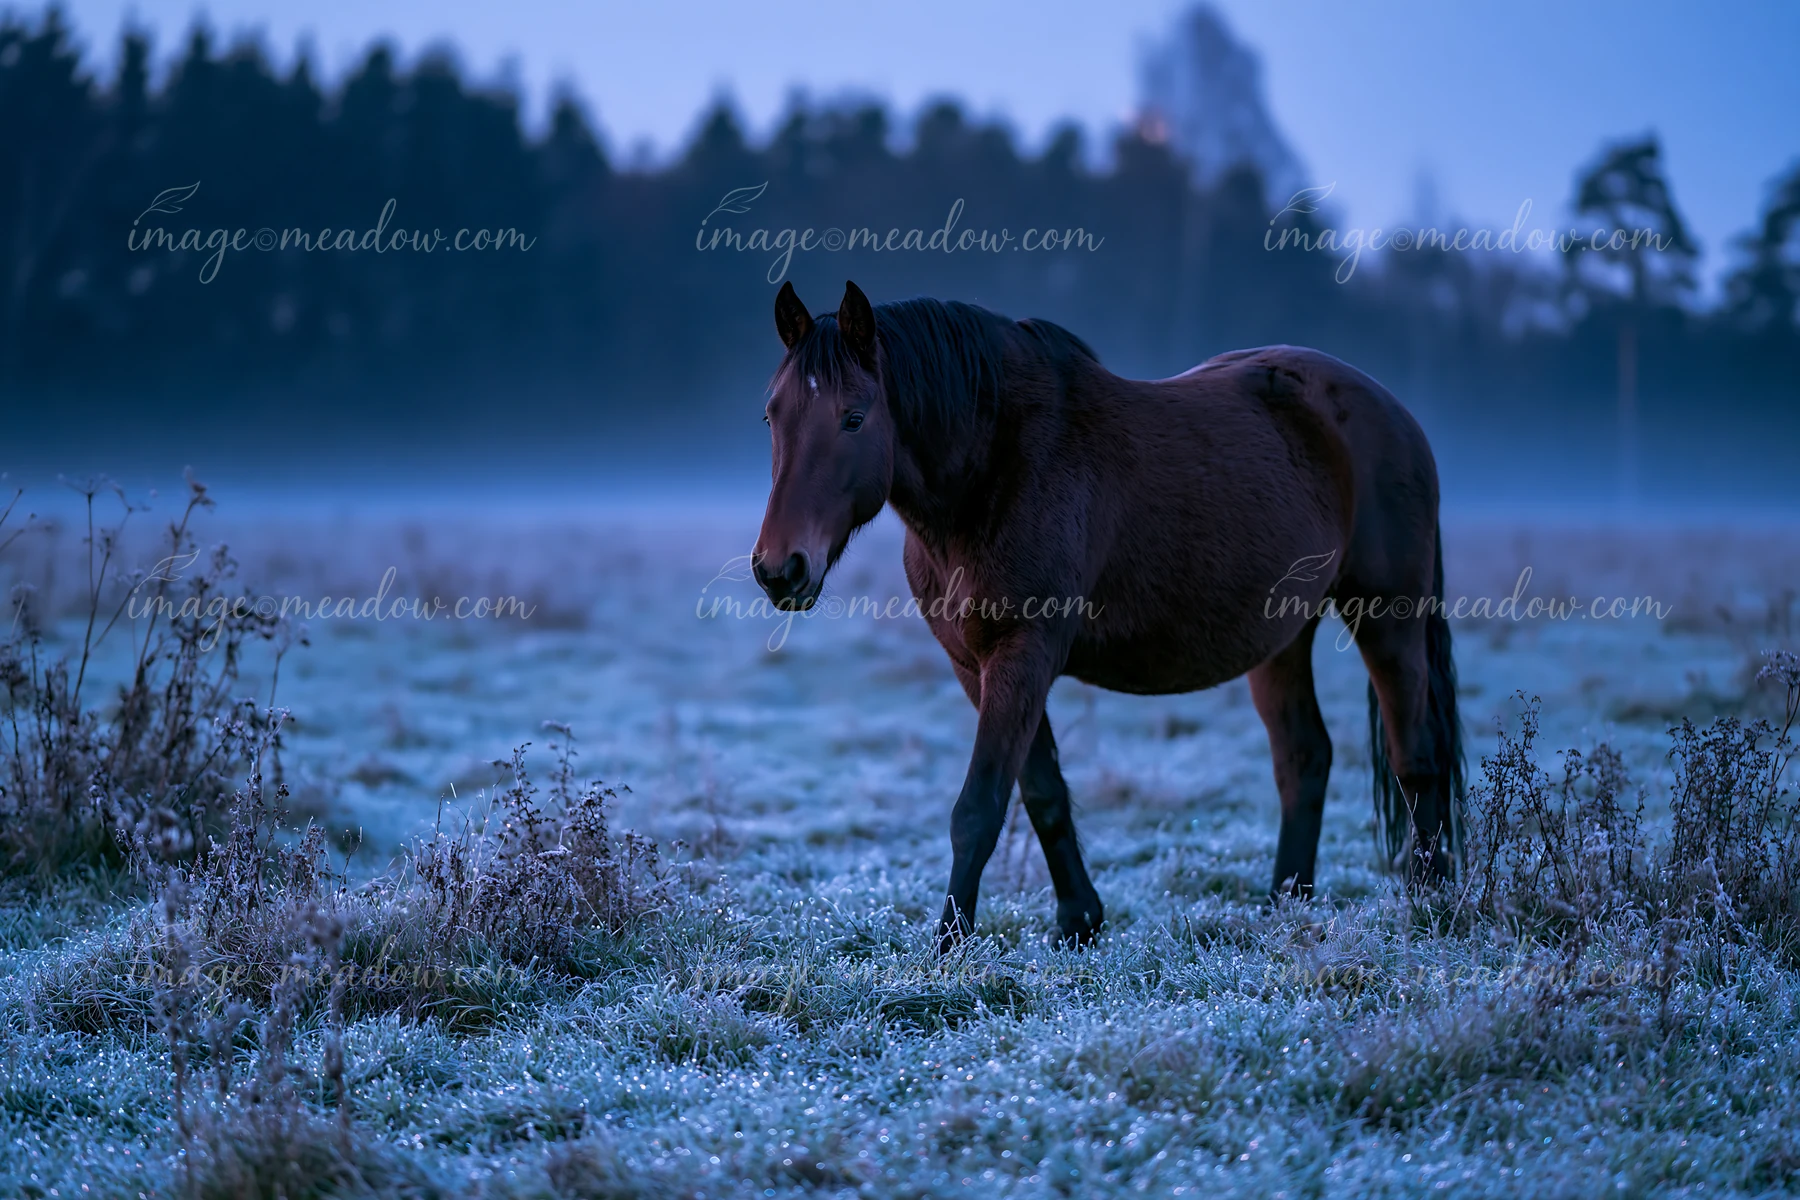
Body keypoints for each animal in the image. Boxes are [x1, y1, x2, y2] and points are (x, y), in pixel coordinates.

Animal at [752, 280, 1464, 952]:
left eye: (853, 418)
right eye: (772, 415)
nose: (779, 568)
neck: (996, 469)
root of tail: (1394, 414)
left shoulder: (1024, 653)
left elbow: (979, 806)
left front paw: (949, 947)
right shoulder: (974, 664)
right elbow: (1041, 791)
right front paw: (1078, 923)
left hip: (1388, 617)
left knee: (1415, 755)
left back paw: (1429, 905)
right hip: (1283, 637)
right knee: (1303, 757)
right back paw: (1285, 905)